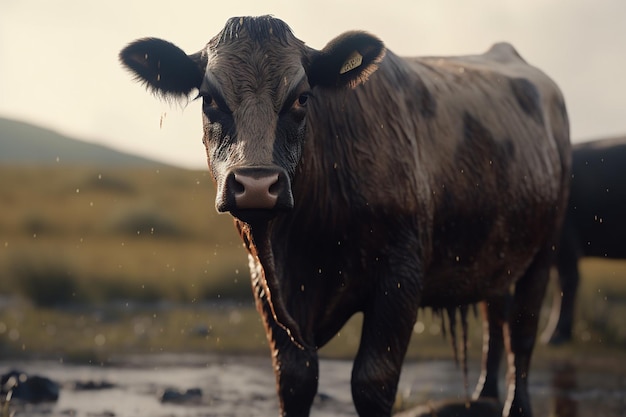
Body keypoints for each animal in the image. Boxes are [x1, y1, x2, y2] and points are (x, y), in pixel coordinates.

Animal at [119, 14, 568, 414]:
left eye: (302, 98)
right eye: (209, 99)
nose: (257, 184)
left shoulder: (401, 275)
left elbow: (372, 381)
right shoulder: (265, 282)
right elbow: (295, 379)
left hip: (542, 252)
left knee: (522, 333)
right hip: (496, 253)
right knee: (496, 319)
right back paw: (483, 397)